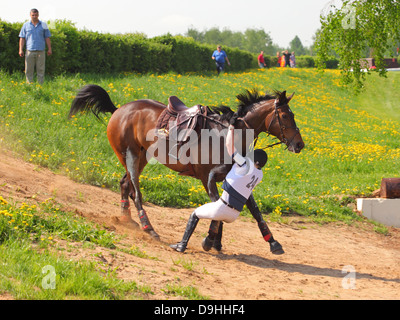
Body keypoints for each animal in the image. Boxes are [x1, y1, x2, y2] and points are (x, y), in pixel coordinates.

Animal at [70, 85, 304, 255]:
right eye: (285, 116)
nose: (300, 144)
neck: (227, 135)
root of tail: (119, 109)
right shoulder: (207, 178)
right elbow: (218, 209)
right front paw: (210, 240)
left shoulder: (234, 181)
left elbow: (255, 211)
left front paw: (273, 243)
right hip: (130, 156)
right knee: (135, 191)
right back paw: (148, 227)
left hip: (141, 157)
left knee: (124, 184)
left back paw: (127, 219)